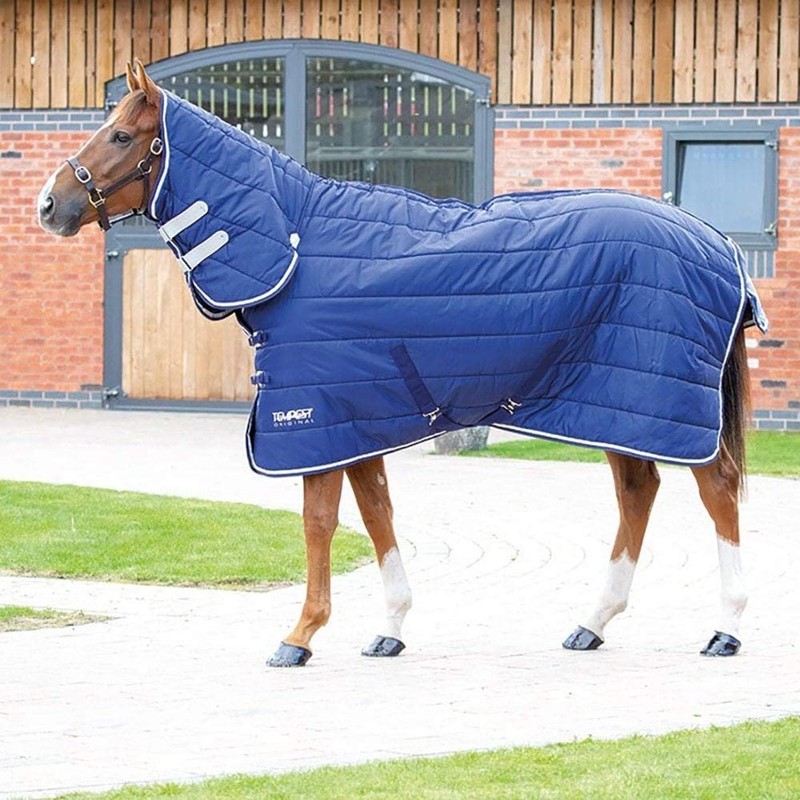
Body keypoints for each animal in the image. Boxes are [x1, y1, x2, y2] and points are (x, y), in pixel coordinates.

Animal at [37, 60, 766, 666]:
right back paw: (593, 623)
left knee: (718, 487)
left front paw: (299, 636)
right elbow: (376, 515)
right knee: (639, 491)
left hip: (660, 404)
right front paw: (389, 628)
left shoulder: (315, 417)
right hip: (615, 404)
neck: (299, 247)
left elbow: (320, 523)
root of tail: (718, 245)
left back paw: (726, 628)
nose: (50, 205)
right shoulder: (357, 420)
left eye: (122, 136)